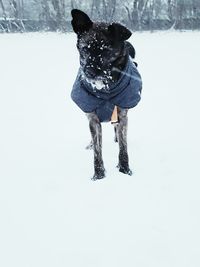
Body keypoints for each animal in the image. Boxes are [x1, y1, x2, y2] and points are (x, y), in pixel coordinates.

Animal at [70, 8, 142, 180]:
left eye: (106, 51)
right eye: (84, 49)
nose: (89, 72)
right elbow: (97, 151)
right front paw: (99, 175)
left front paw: (125, 170)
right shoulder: (93, 119)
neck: (105, 89)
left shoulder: (122, 115)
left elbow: (123, 148)